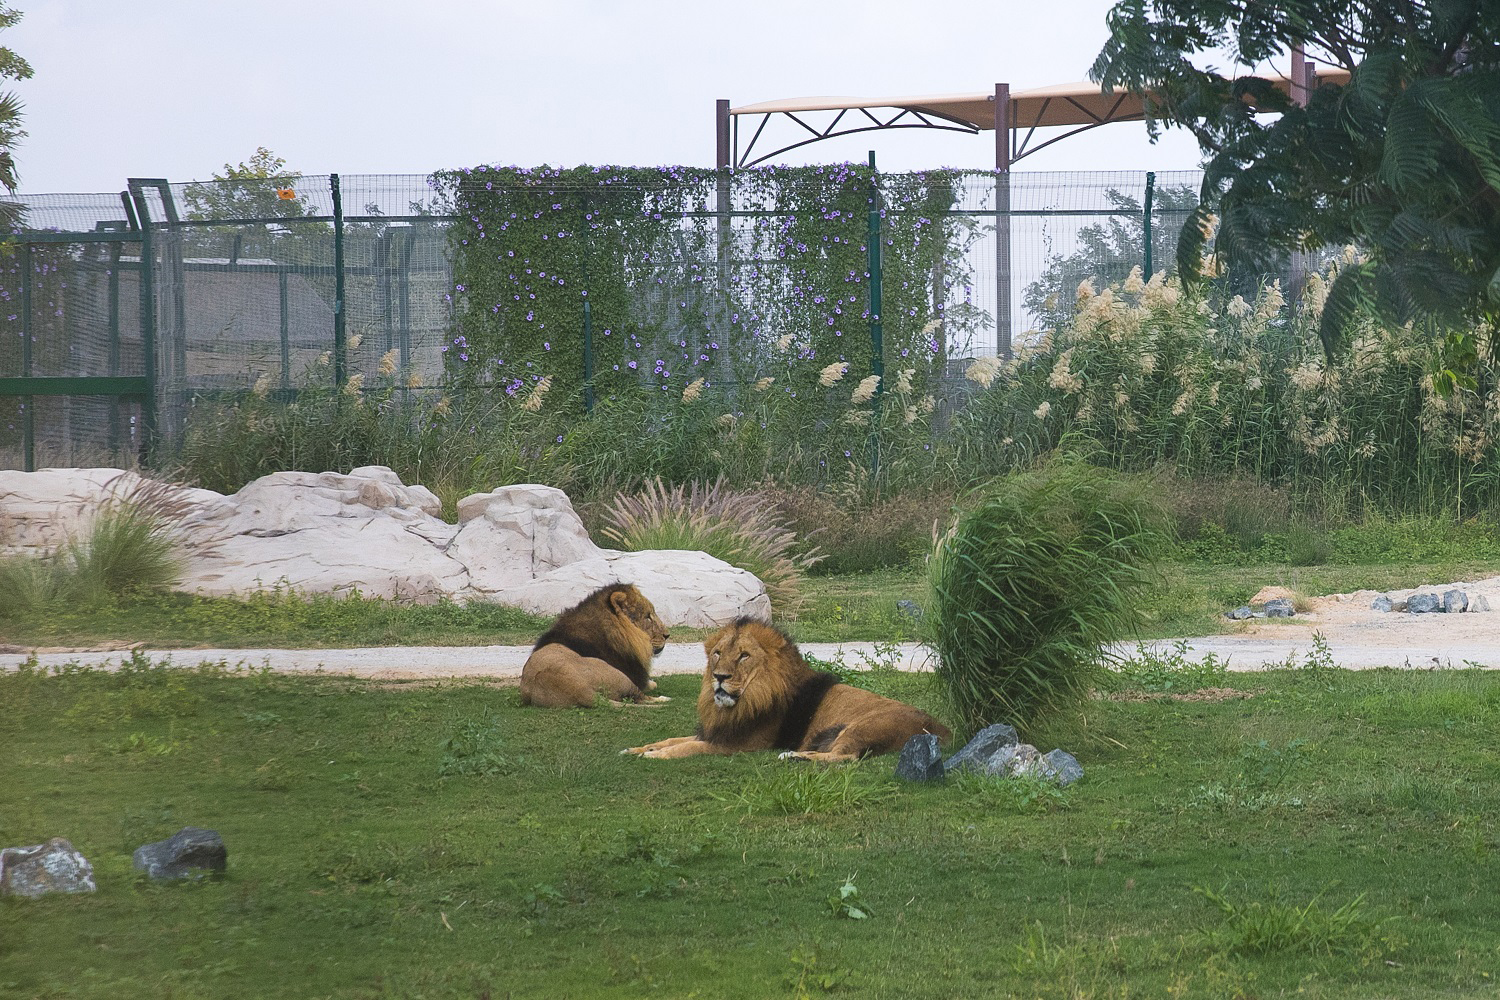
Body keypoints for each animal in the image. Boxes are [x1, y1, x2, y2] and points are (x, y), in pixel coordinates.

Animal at [525, 578, 672, 710]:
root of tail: (579, 689)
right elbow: (651, 684)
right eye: (648, 617)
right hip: (618, 675)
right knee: (639, 696)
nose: (667, 635)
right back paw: (665, 699)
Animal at [624, 614, 948, 761]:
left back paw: (793, 756)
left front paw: (651, 756)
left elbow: (687, 747)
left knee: (844, 758)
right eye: (717, 653)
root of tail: (945, 730)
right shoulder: (717, 731)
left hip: (864, 725)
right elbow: (671, 739)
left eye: (743, 656)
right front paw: (636, 748)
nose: (719, 676)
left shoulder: (737, 745)